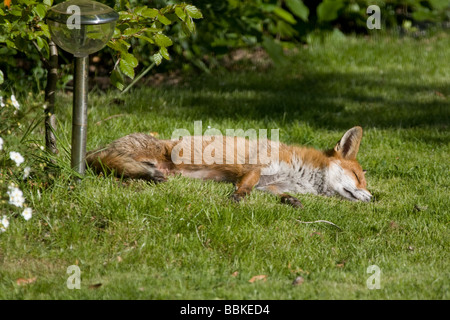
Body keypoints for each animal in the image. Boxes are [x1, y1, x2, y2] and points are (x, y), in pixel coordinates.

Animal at [86, 125, 370, 208]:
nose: (372, 197)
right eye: (357, 177)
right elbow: (246, 185)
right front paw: (238, 197)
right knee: (107, 164)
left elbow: (279, 194)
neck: (300, 174)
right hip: (146, 151)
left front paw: (291, 201)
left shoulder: (272, 185)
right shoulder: (258, 165)